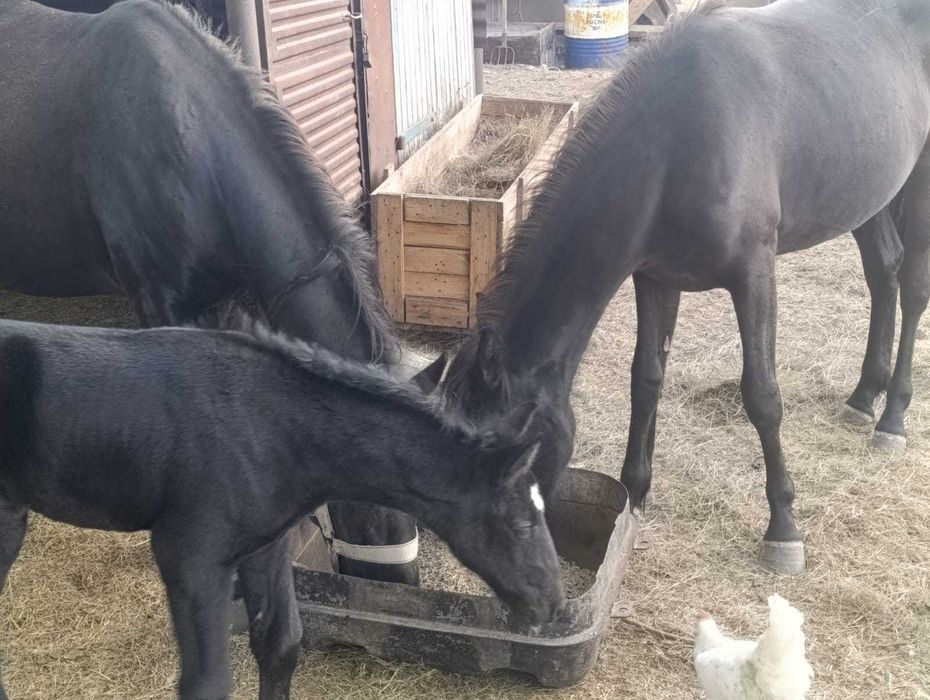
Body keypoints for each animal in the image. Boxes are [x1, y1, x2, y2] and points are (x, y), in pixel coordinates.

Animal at [0, 317, 565, 699]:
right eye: (521, 522)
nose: (553, 604)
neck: (271, 427)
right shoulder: (189, 556)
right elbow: (207, 683)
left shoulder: (264, 544)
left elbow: (280, 644)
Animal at [423, 0, 930, 576]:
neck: (677, 143)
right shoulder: (655, 278)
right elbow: (646, 378)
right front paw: (633, 494)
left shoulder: (754, 275)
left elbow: (762, 395)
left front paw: (783, 528)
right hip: (869, 193)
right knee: (883, 271)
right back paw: (865, 395)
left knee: (912, 286)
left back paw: (892, 417)